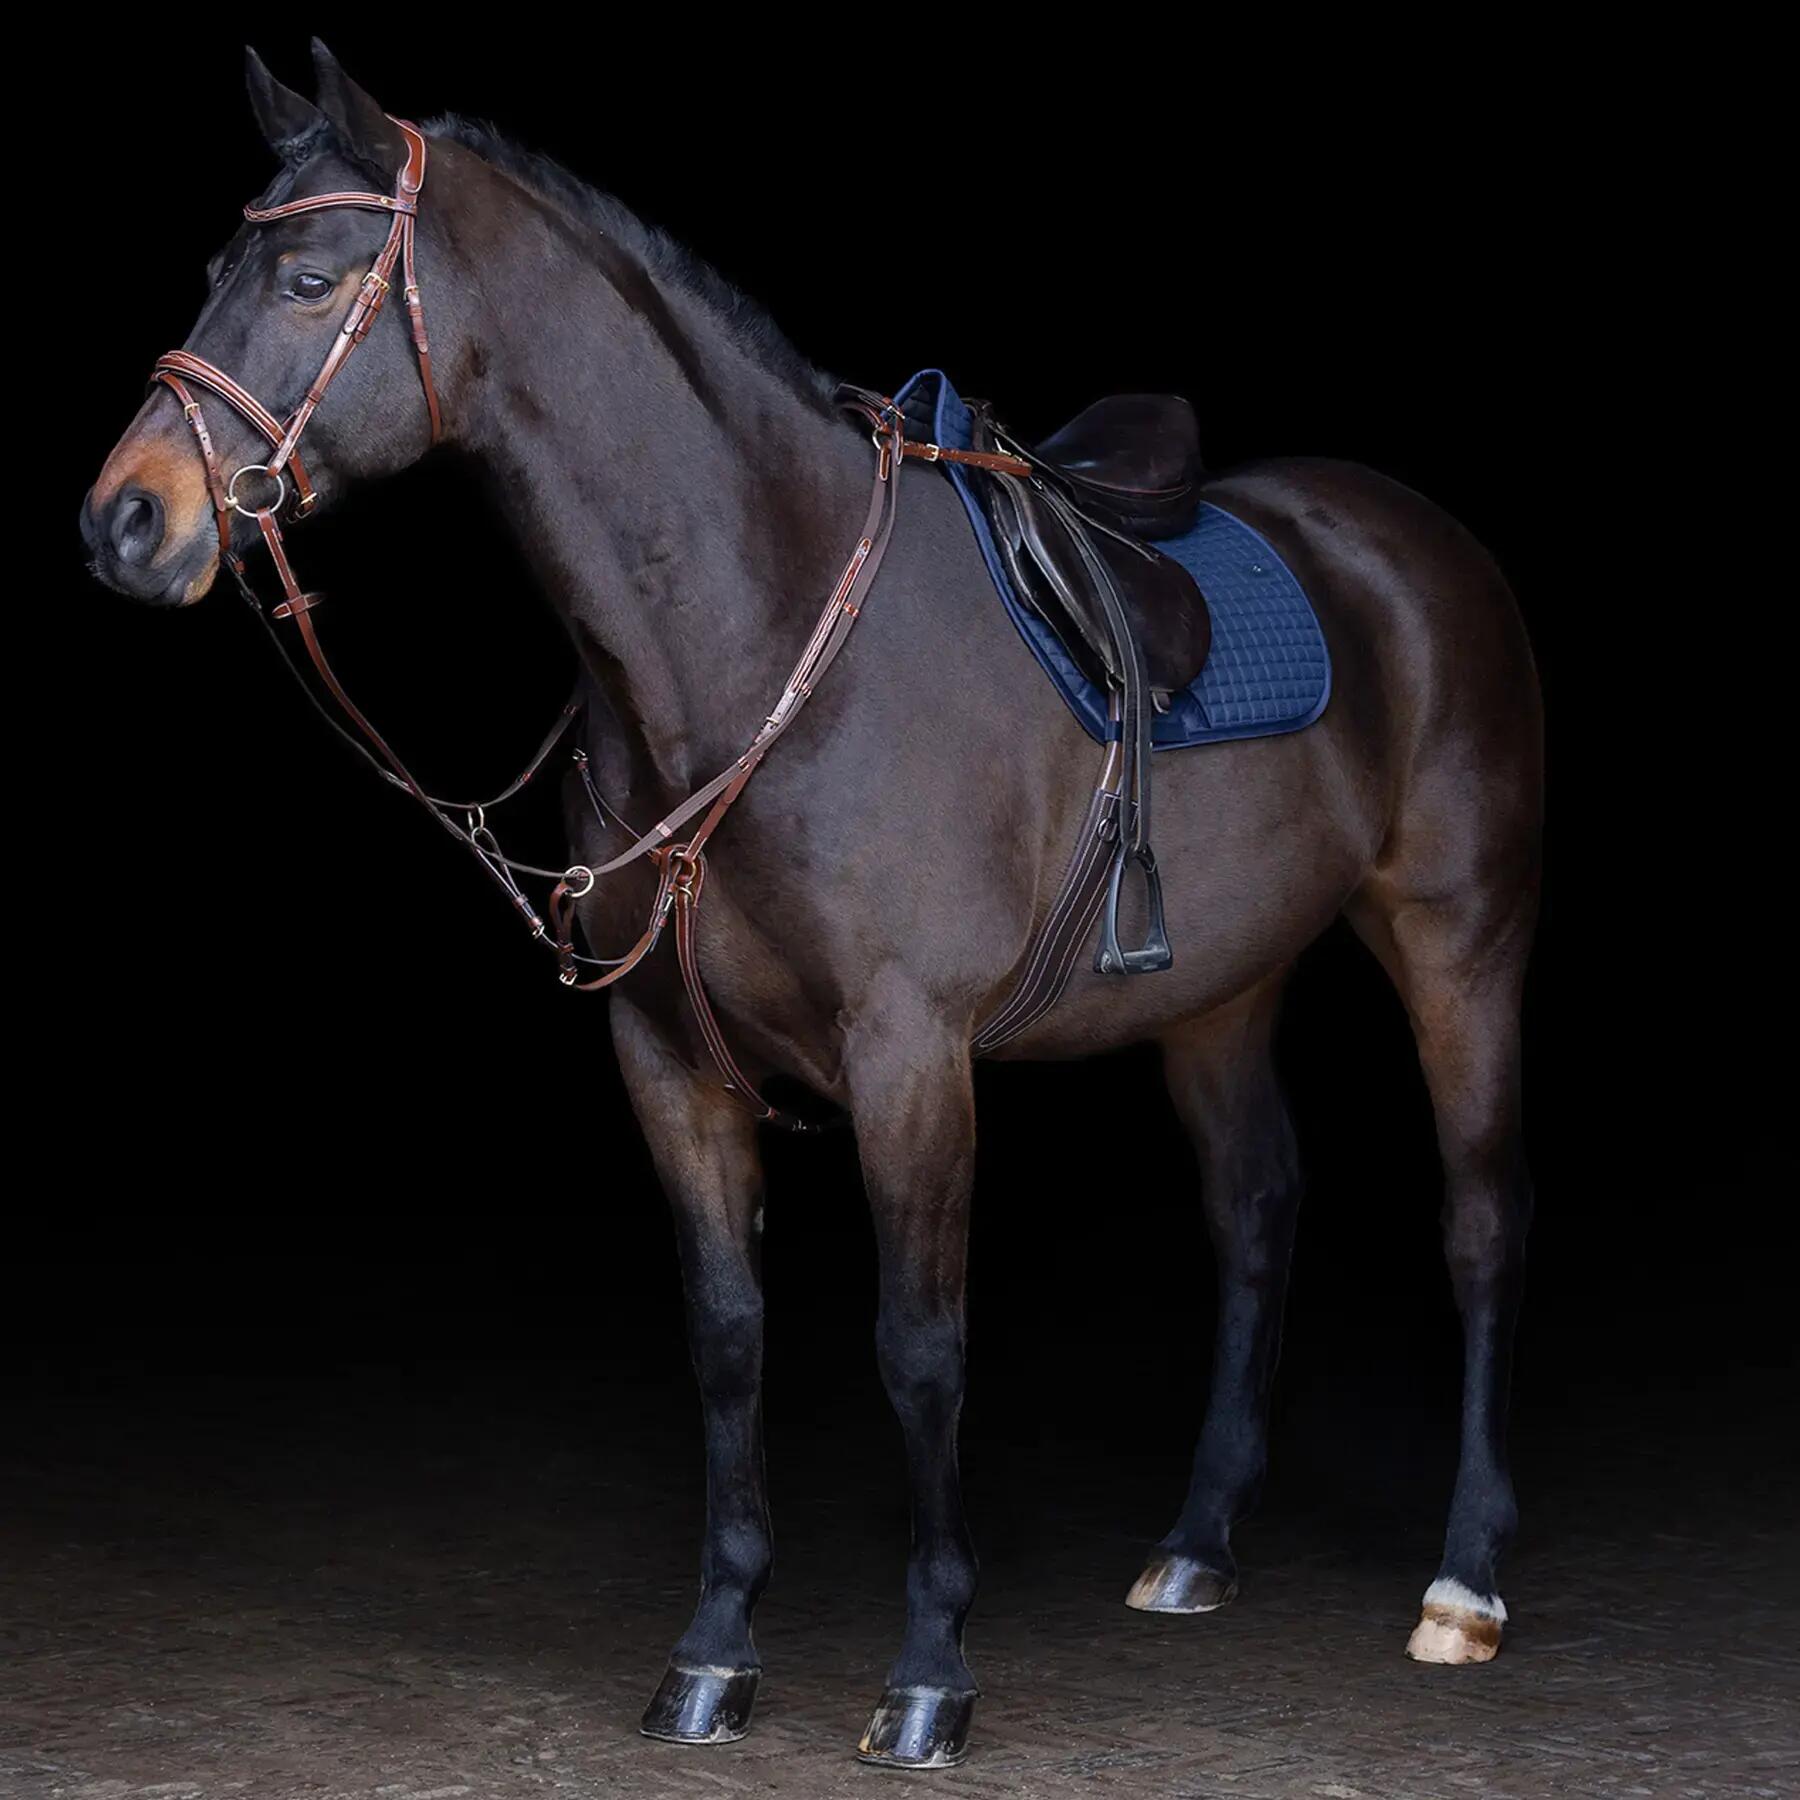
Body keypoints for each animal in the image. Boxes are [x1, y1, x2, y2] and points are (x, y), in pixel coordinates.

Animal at [80, 43, 1543, 1770]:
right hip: (1217, 996)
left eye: (309, 280)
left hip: (1461, 944)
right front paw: (714, 1653)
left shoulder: (912, 1061)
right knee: (1258, 1209)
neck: (760, 628)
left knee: (1477, 1225)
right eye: (213, 274)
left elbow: (920, 1350)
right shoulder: (667, 1063)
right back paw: (1195, 1549)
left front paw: (930, 1674)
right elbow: (727, 1343)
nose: (124, 520)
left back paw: (1464, 1582)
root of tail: (1414, 539)